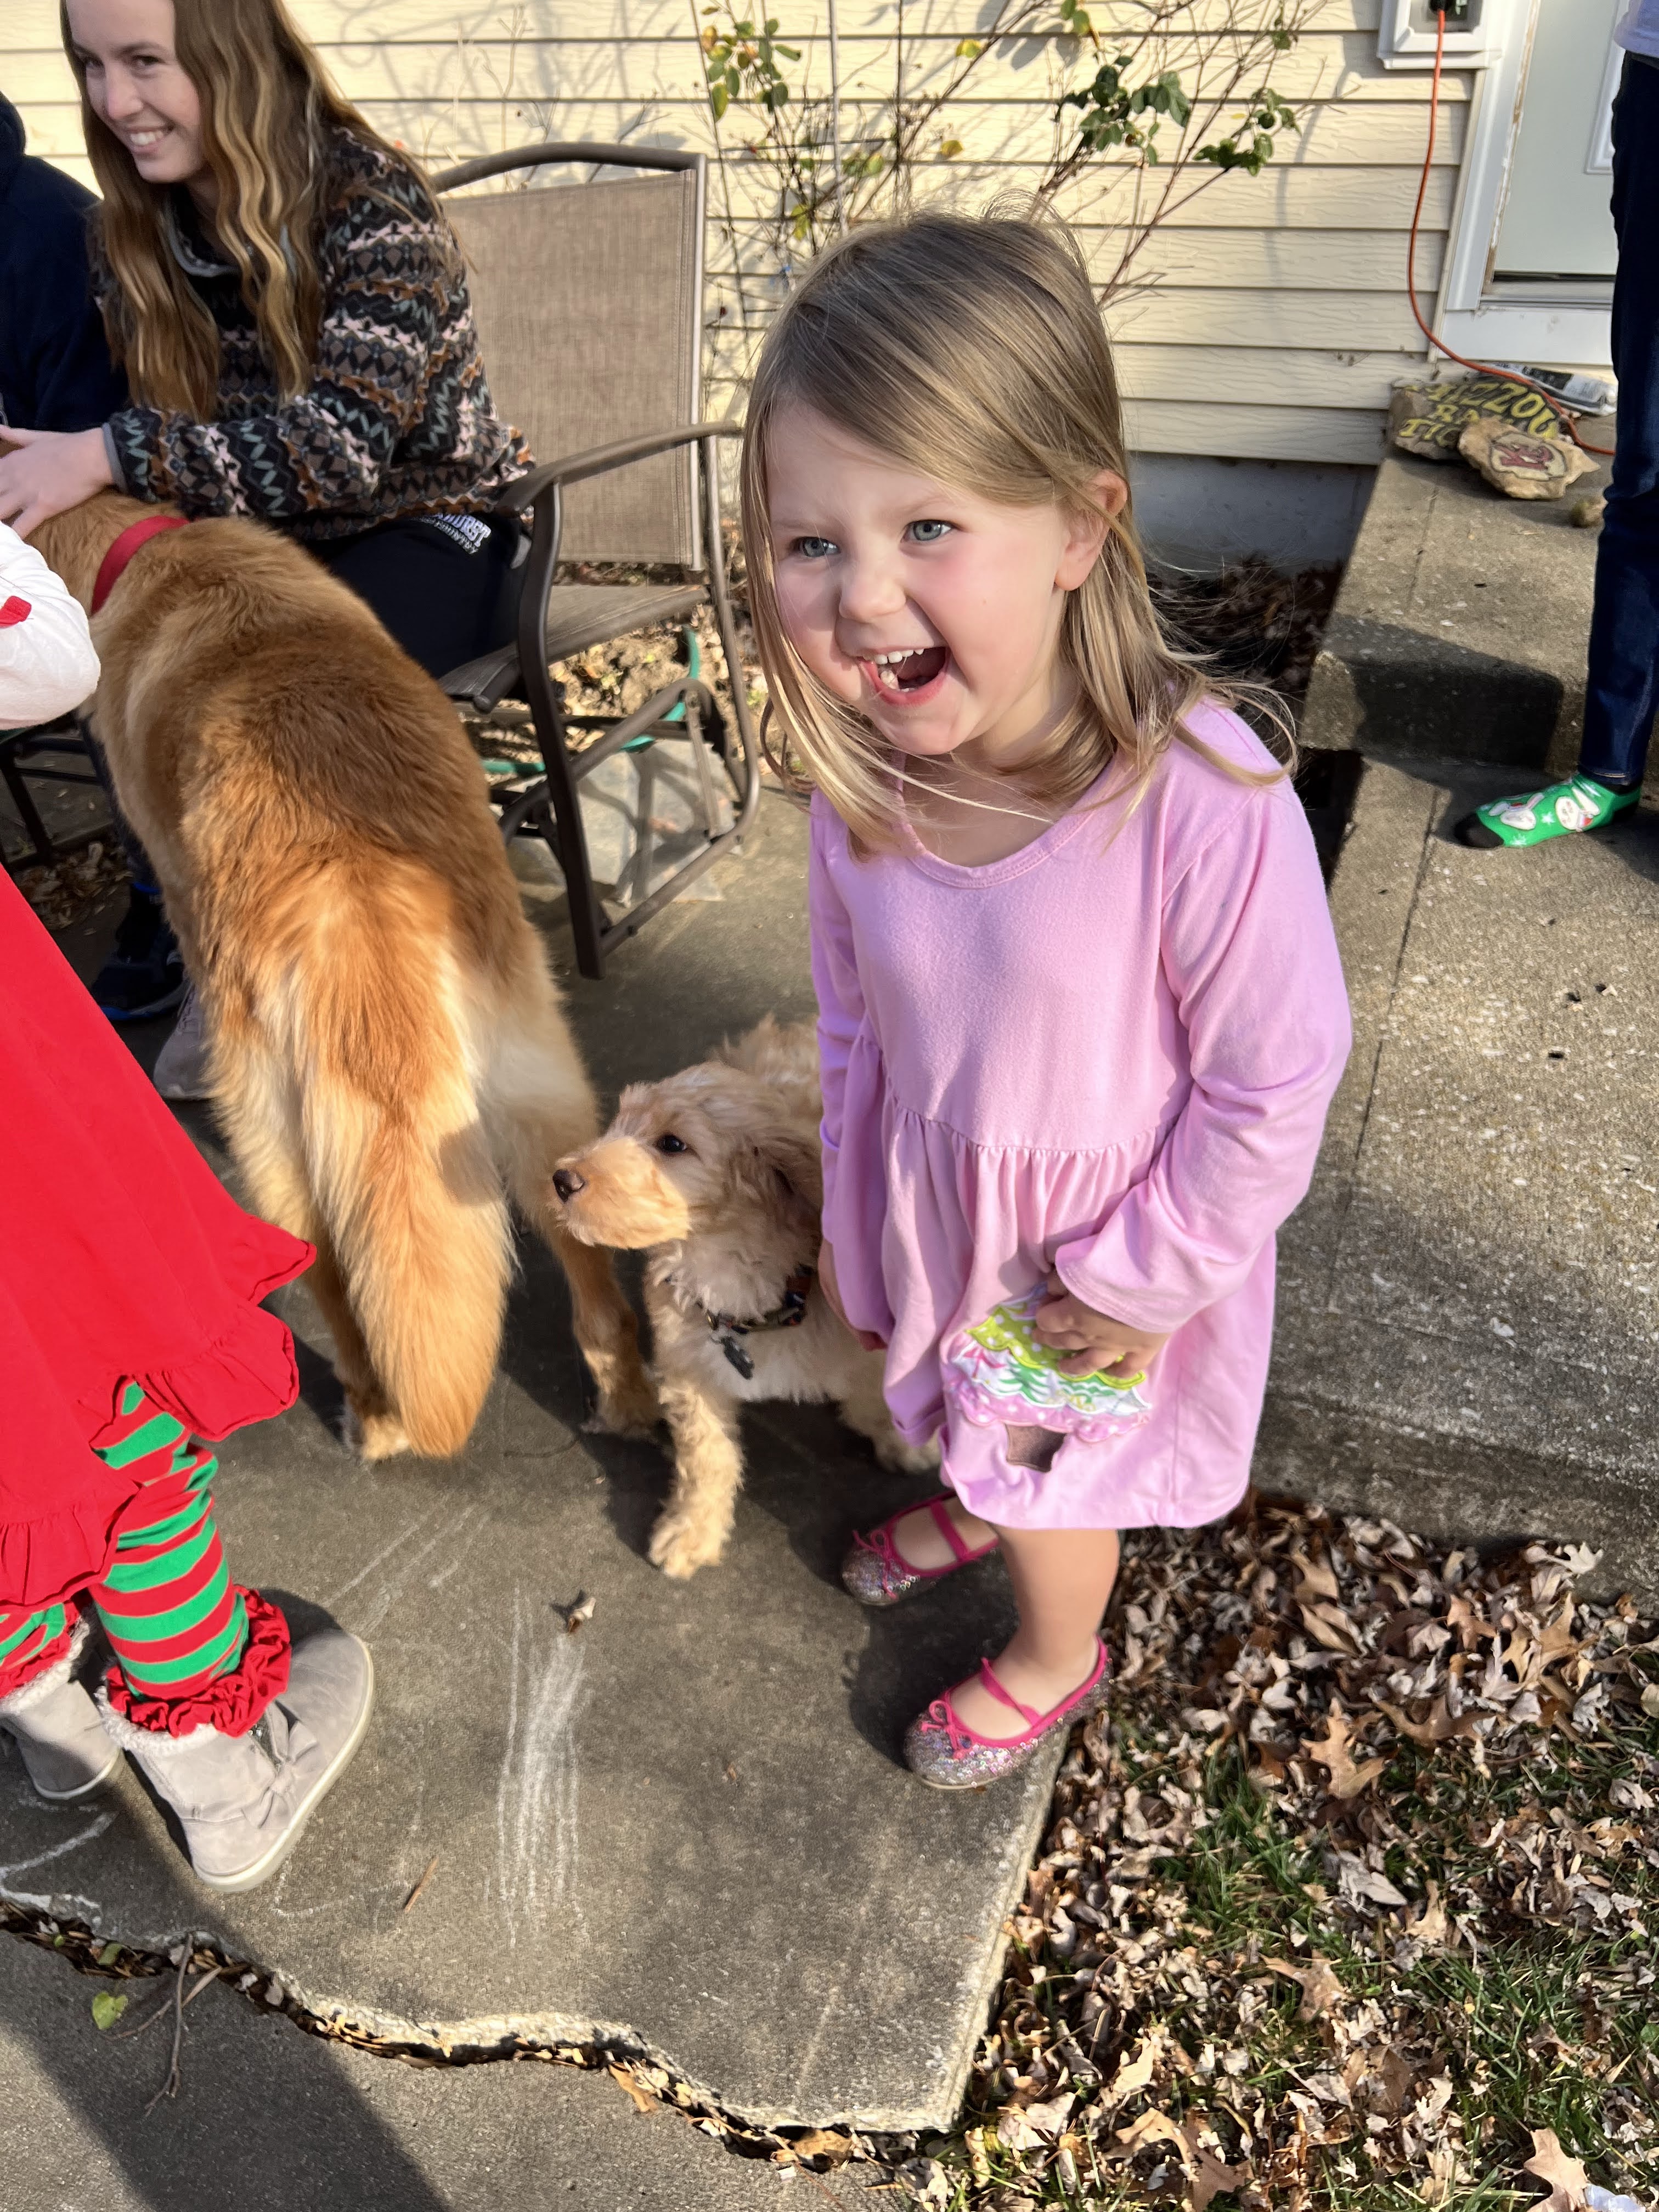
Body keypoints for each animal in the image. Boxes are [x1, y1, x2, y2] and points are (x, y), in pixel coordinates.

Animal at [28, 484, 657, 1460]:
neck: (143, 548)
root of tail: (351, 881)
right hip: (539, 1089)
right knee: (592, 1279)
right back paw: (627, 1400)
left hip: (274, 1145)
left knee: (334, 1289)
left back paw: (373, 1415)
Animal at [551, 1018, 936, 1577]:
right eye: (620, 1121)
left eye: (672, 1143)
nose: (561, 1179)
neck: (732, 1274)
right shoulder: (691, 1369)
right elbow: (707, 1455)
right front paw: (692, 1530)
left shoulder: (864, 1338)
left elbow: (871, 1400)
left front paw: (904, 1444)